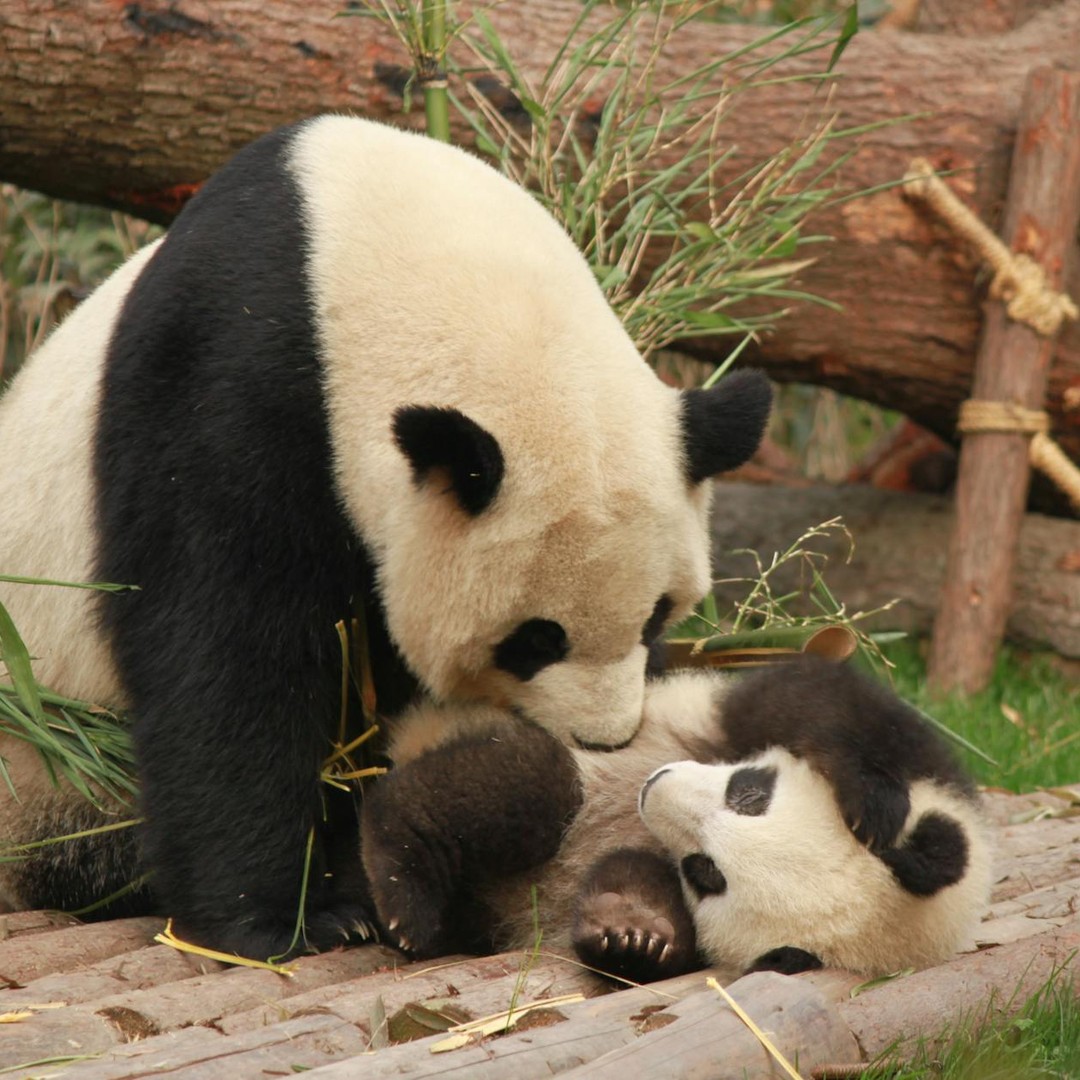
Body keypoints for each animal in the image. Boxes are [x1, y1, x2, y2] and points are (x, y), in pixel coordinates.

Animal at [0, 116, 771, 957]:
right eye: (535, 639)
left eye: (657, 616)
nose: (604, 739)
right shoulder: (225, 382)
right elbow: (225, 654)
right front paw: (282, 920)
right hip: (49, 759)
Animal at [362, 656, 991, 983]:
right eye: (749, 793)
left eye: (705, 872)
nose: (655, 786)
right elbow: (816, 698)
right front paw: (870, 800)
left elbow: (640, 888)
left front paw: (633, 933)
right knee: (528, 786)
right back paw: (402, 890)